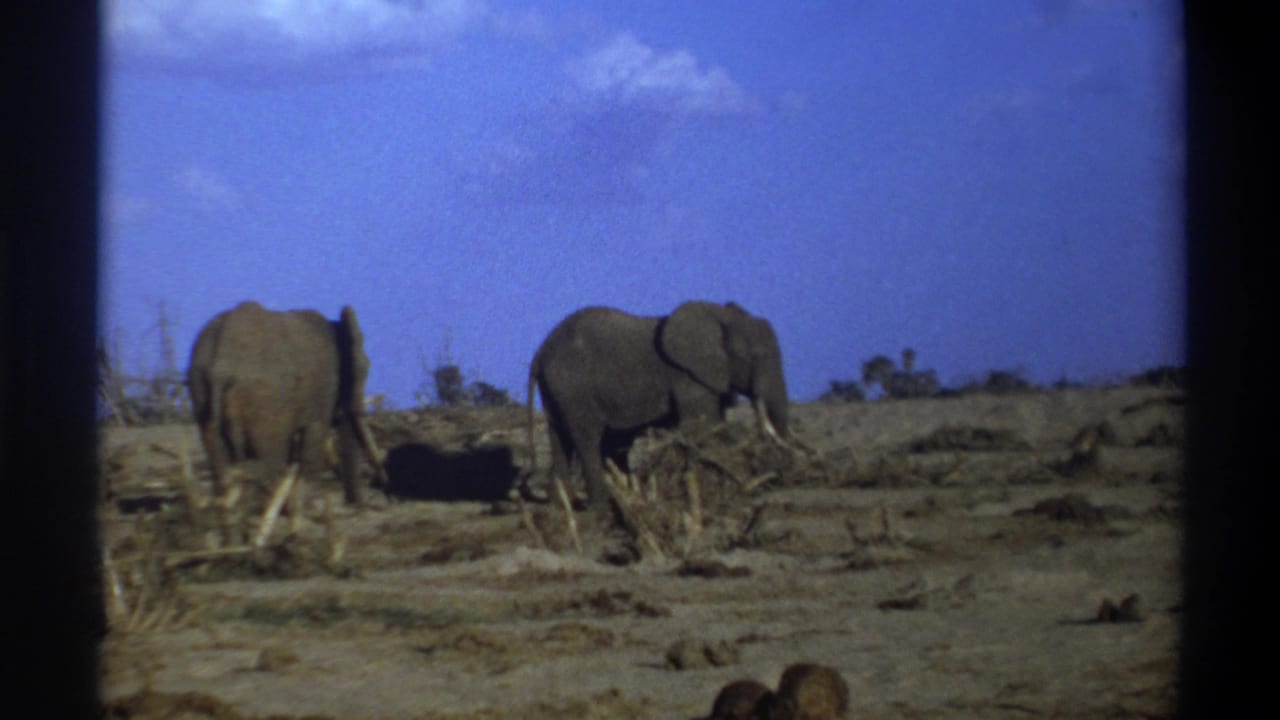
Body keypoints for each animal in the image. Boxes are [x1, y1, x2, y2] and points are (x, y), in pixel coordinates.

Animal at [187, 301, 386, 511]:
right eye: (365, 369)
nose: (357, 504)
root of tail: (221, 365)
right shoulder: (324, 387)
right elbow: (313, 439)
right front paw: (309, 507)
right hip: (265, 401)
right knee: (270, 454)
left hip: (199, 384)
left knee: (217, 453)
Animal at [527, 301, 790, 510]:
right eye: (754, 357)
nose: (779, 478)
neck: (719, 315)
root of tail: (541, 351)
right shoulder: (686, 376)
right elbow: (705, 426)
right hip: (573, 387)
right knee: (588, 440)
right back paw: (601, 509)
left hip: (557, 390)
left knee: (561, 438)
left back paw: (563, 507)